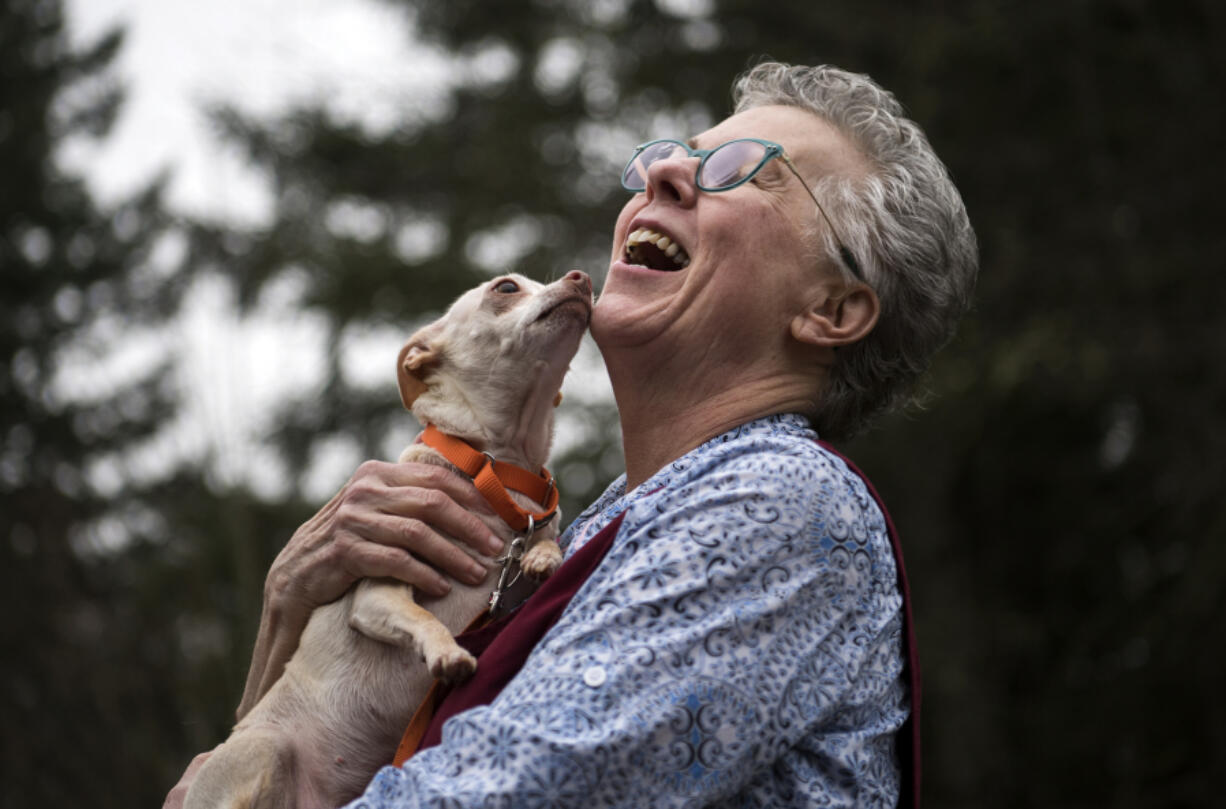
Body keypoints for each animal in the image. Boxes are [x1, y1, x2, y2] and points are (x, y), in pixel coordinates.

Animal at [182, 272, 598, 809]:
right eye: (507, 288)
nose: (580, 277)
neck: (499, 472)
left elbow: (547, 540)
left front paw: (544, 556)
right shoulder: (380, 593)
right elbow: (423, 618)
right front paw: (448, 654)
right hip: (266, 750)